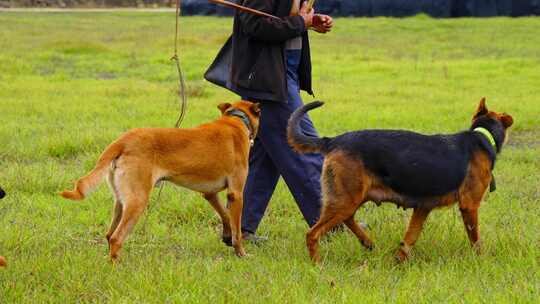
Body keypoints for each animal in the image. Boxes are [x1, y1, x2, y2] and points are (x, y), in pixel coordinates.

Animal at [60, 101, 260, 260]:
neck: (236, 120)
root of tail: (123, 140)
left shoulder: (209, 193)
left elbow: (225, 216)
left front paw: (226, 236)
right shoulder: (236, 194)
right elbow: (237, 230)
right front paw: (241, 252)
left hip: (121, 202)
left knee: (109, 235)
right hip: (137, 202)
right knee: (117, 238)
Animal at [288, 98, 512, 262]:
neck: (483, 136)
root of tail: (332, 141)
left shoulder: (423, 207)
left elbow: (410, 237)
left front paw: (399, 260)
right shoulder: (469, 206)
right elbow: (475, 239)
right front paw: (481, 259)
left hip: (351, 198)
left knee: (347, 219)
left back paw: (367, 242)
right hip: (345, 199)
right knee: (313, 234)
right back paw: (317, 264)